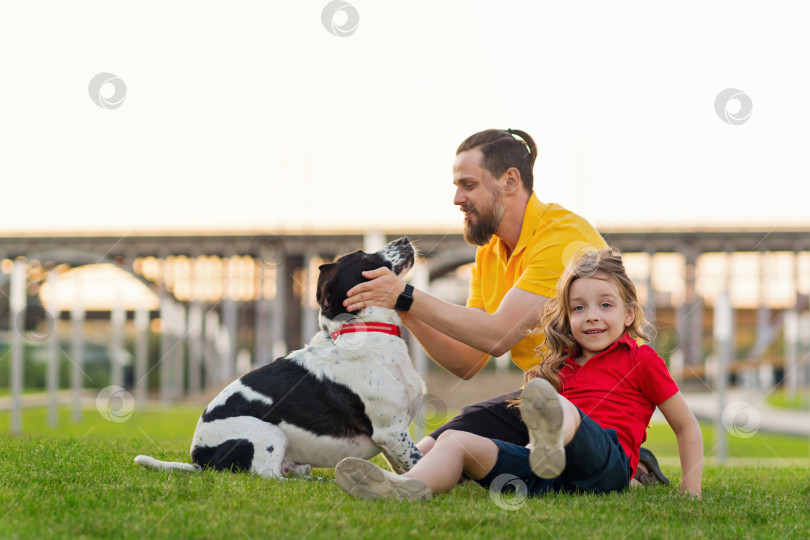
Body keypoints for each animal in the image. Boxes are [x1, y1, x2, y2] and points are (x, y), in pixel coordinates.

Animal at [134, 236, 422, 476]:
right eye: (363, 255)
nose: (405, 238)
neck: (367, 330)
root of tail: (199, 460)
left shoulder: (392, 438)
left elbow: (403, 469)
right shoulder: (391, 432)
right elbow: (417, 463)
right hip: (269, 433)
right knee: (268, 475)